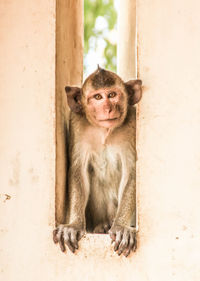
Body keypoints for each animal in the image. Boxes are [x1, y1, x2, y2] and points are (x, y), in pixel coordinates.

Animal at [53, 65, 142, 256]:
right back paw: (103, 226)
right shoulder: (77, 122)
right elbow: (78, 170)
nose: (108, 108)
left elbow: (132, 171)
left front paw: (121, 227)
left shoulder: (132, 122)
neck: (105, 131)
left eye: (112, 95)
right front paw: (74, 225)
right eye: (98, 97)